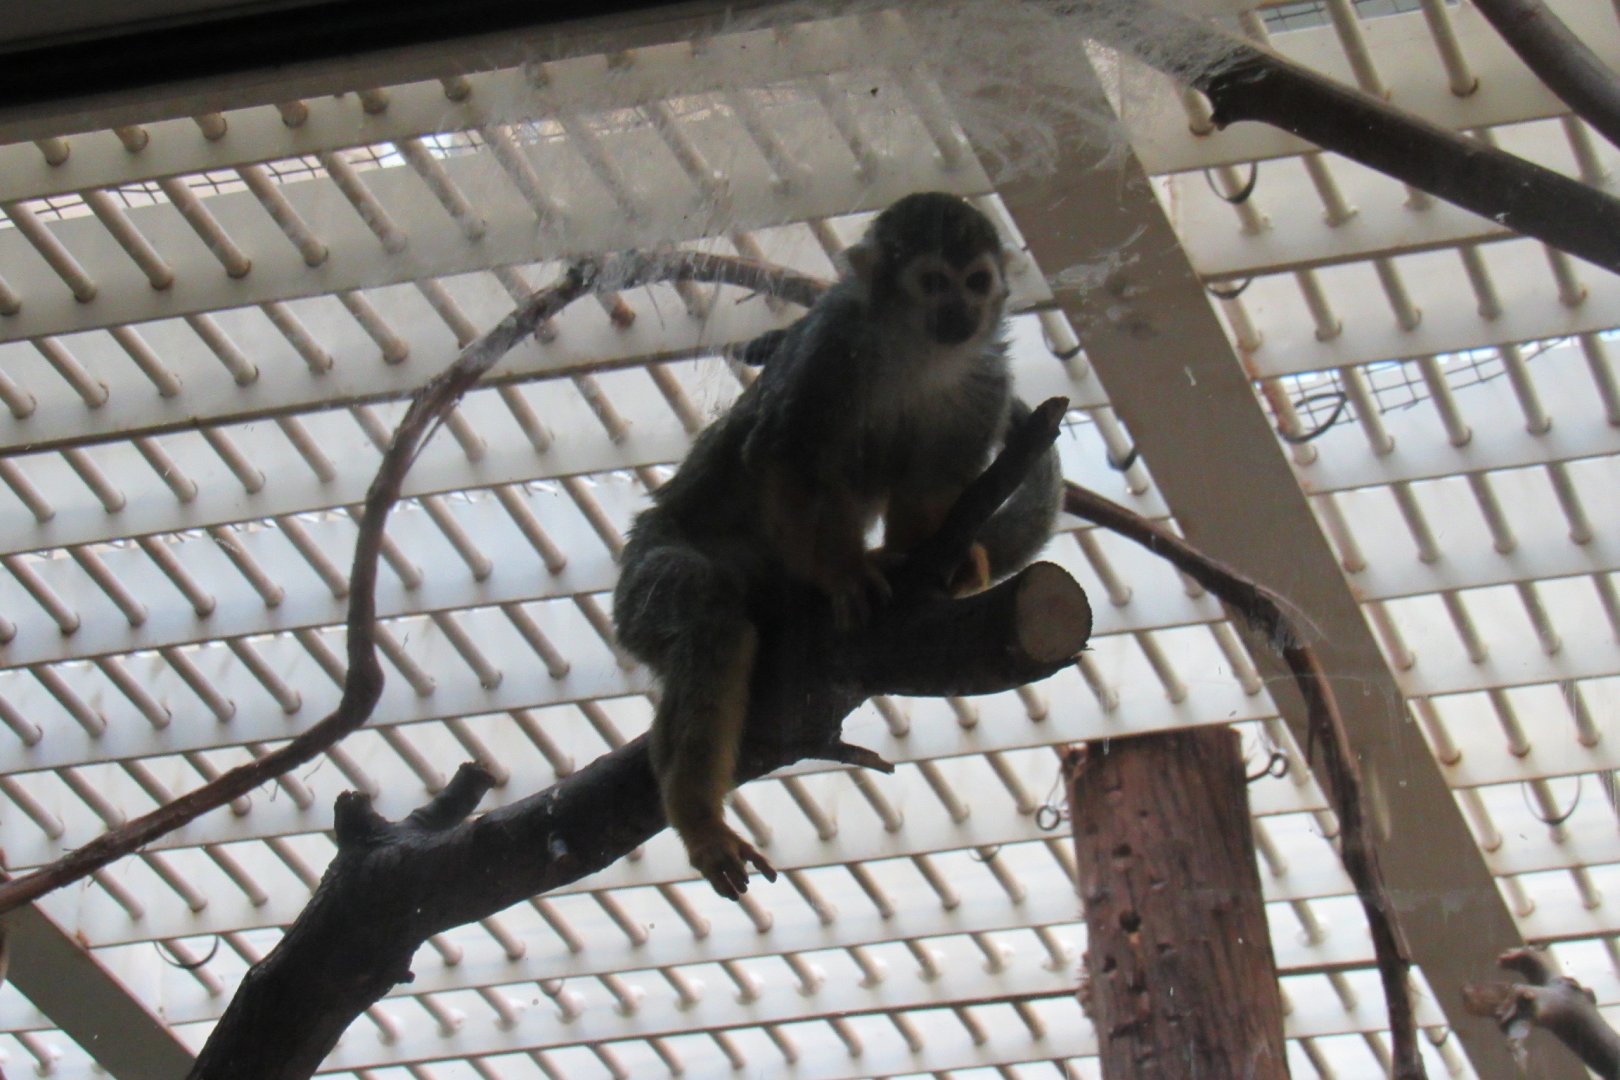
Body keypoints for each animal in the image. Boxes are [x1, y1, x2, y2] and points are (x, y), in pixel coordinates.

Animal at [612, 192, 1062, 900]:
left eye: (976, 282)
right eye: (933, 282)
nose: (960, 314)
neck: (915, 349)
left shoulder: (986, 379)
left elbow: (931, 481)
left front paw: (934, 559)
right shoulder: (829, 347)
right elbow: (783, 455)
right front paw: (846, 578)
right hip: (641, 583)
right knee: (709, 614)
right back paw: (698, 818)